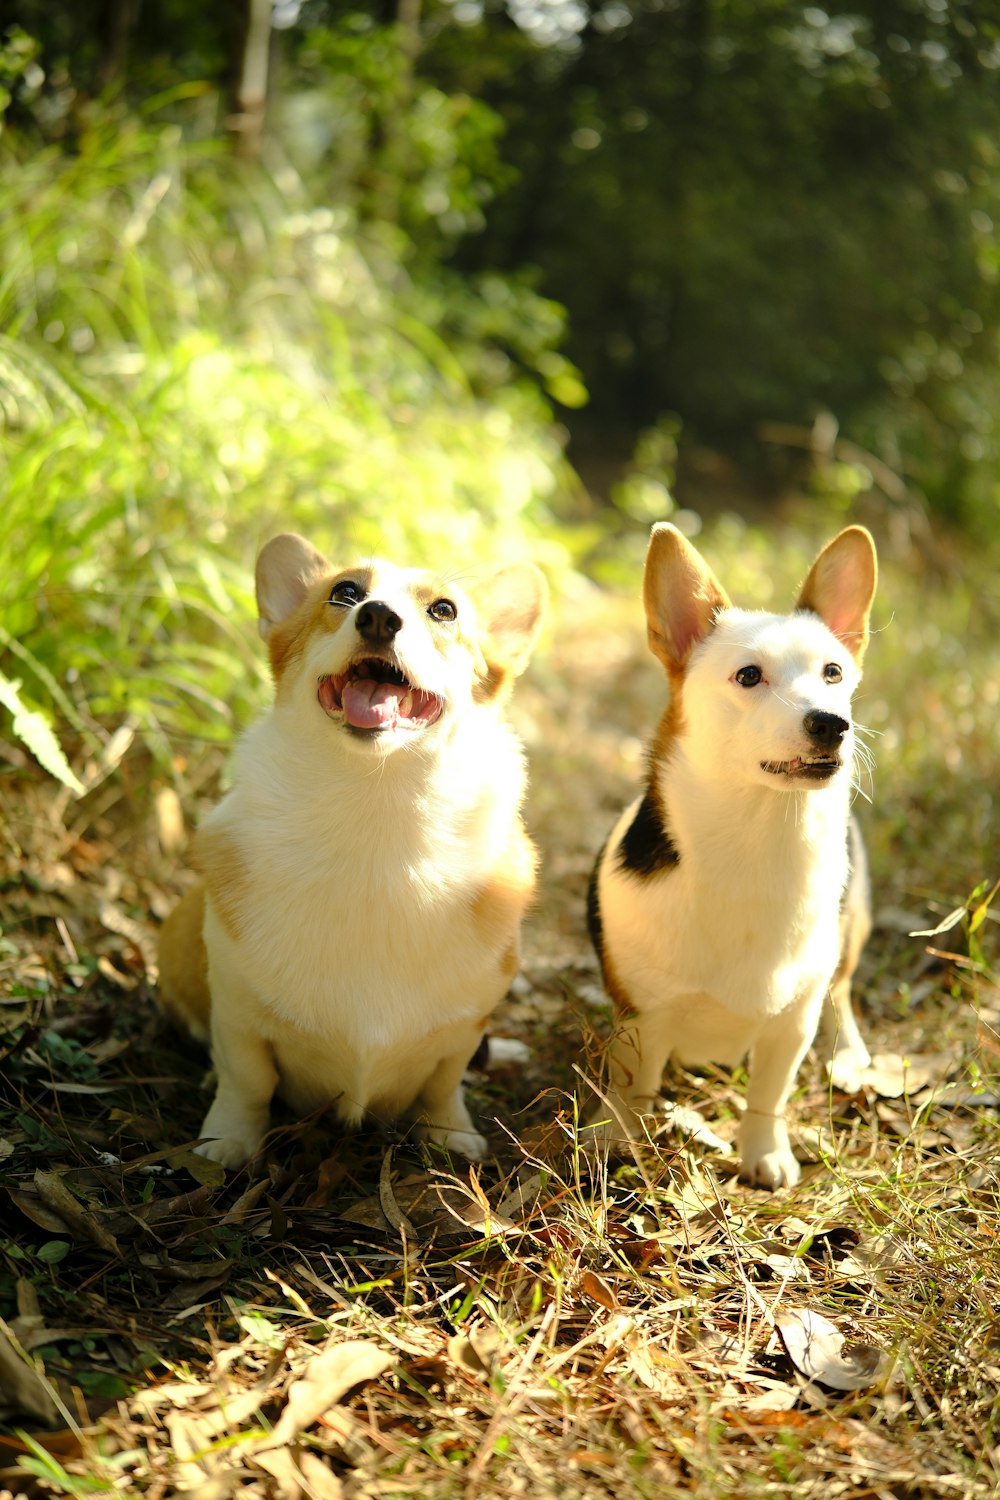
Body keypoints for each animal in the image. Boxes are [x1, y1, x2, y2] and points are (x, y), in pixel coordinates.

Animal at [158, 534, 548, 1164]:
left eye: (444, 610)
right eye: (345, 593)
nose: (378, 617)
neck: (376, 811)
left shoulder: (463, 1030)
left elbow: (444, 1084)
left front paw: (450, 1134)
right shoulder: (239, 1014)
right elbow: (247, 1080)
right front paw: (229, 1141)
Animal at [587, 522, 875, 1188]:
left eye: (833, 673)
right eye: (748, 677)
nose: (834, 723)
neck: (759, 841)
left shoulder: (791, 1026)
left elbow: (768, 1095)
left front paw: (764, 1153)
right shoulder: (643, 1021)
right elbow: (633, 1092)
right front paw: (621, 1144)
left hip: (852, 928)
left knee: (843, 989)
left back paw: (850, 1055)